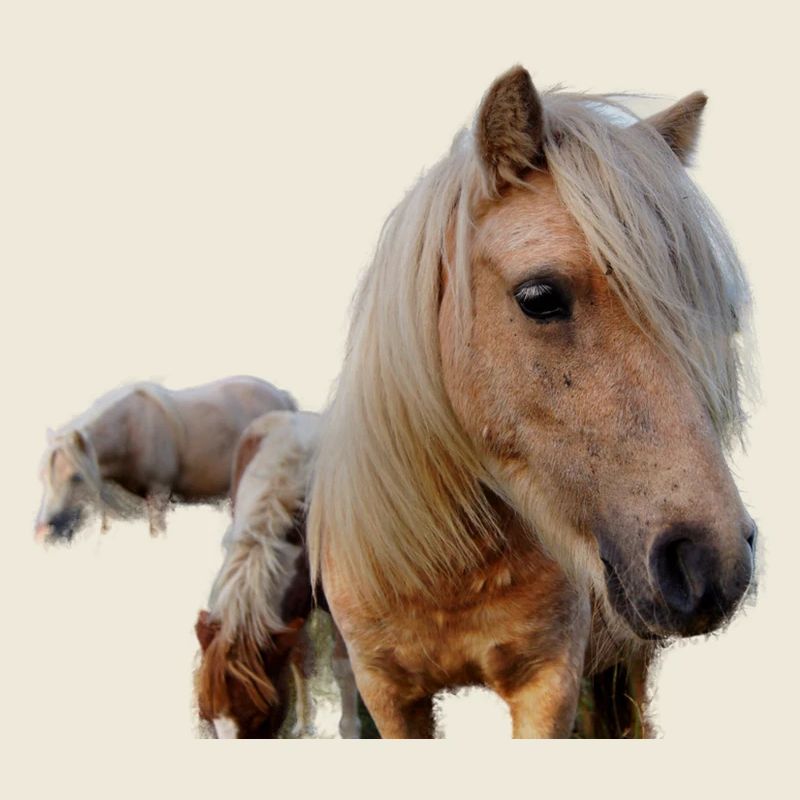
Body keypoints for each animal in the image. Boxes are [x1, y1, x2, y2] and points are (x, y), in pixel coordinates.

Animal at [35, 376, 296, 543]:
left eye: (76, 477)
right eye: (44, 477)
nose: (42, 532)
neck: (131, 429)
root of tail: (283, 398)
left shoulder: (158, 494)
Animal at [195, 411, 361, 739]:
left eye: (260, 716)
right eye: (207, 716)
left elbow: (343, 666)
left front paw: (351, 730)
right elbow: (299, 656)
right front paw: (304, 723)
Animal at [307, 66, 756, 738]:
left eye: (721, 315)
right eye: (539, 297)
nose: (713, 563)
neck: (448, 573)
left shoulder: (547, 685)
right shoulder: (387, 694)